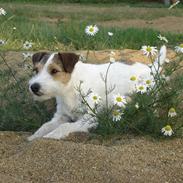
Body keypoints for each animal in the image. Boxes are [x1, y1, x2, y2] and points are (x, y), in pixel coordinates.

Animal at [27, 45, 167, 140]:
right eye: (36, 70)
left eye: (54, 71)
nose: (34, 87)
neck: (71, 87)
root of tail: (151, 68)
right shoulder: (61, 116)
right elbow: (45, 126)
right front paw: (34, 137)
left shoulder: (89, 118)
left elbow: (64, 126)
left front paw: (50, 136)